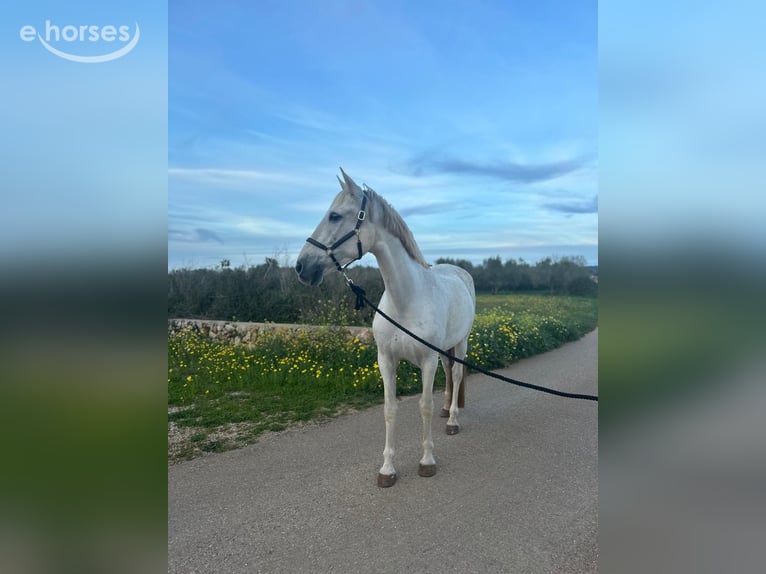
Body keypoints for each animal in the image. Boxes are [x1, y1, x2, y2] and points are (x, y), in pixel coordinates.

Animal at [295, 169, 476, 487]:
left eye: (334, 216)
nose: (302, 267)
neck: (406, 299)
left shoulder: (427, 360)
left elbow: (424, 406)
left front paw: (427, 461)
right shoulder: (386, 360)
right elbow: (390, 410)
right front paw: (387, 469)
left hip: (461, 342)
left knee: (455, 374)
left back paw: (453, 420)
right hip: (445, 348)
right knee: (449, 375)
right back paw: (446, 411)